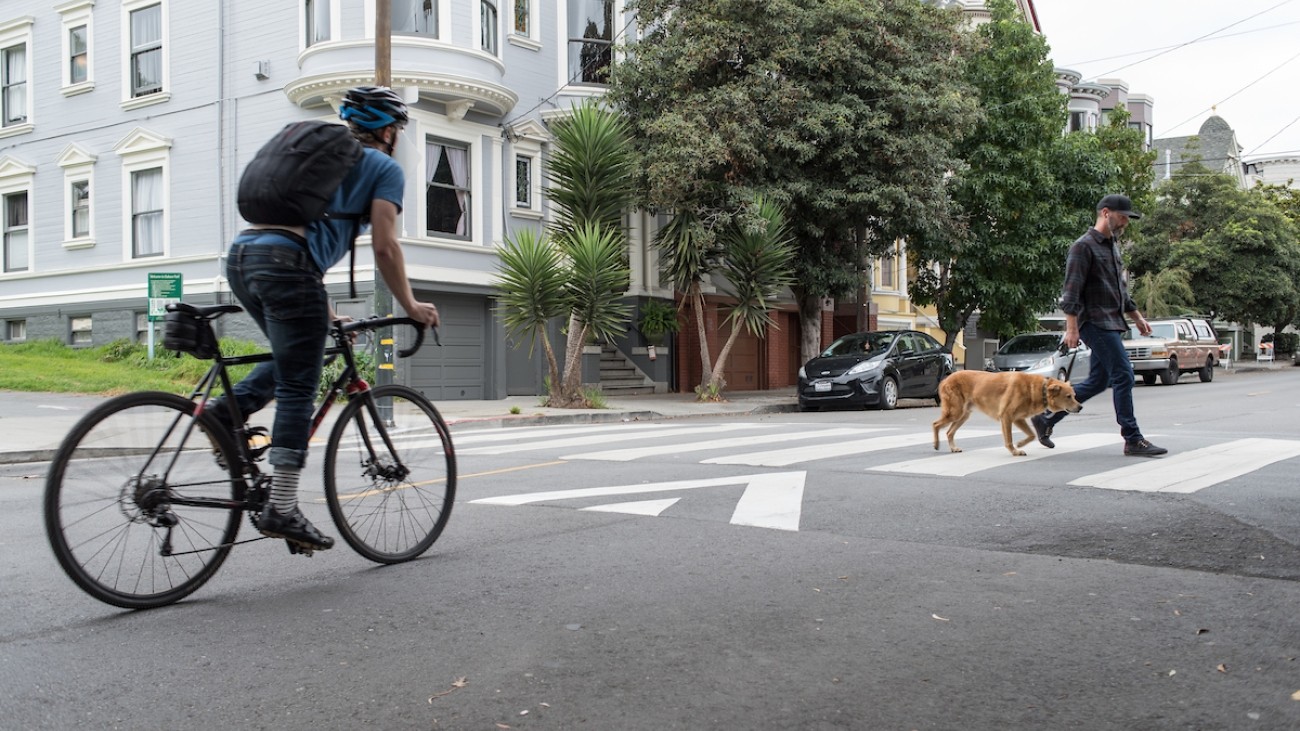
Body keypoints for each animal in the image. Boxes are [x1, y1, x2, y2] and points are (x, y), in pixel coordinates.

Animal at [930, 369, 1081, 455]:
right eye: (1068, 396)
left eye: (1074, 395)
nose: (1080, 407)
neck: (1039, 390)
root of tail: (945, 379)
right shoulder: (1006, 416)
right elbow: (1009, 439)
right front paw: (1014, 451)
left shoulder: (1018, 419)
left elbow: (1031, 435)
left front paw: (1020, 444)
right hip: (955, 412)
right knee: (935, 424)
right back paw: (936, 444)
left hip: (963, 415)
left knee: (949, 432)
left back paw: (953, 448)